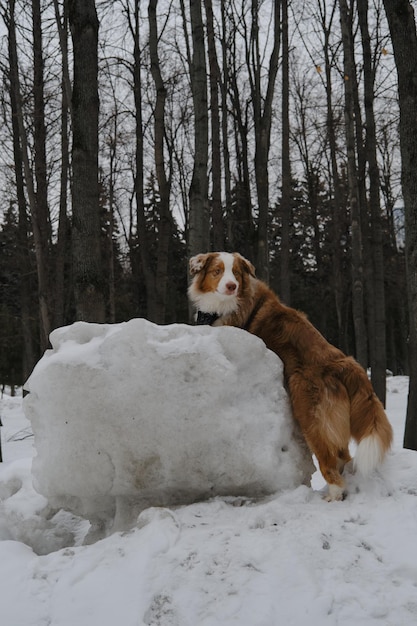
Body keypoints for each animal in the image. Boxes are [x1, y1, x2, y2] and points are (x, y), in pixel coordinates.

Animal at [188, 251, 394, 500]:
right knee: (344, 456)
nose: (231, 286)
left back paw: (333, 494)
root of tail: (344, 363)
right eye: (217, 271)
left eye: (236, 273)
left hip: (311, 415)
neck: (226, 305)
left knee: (329, 458)